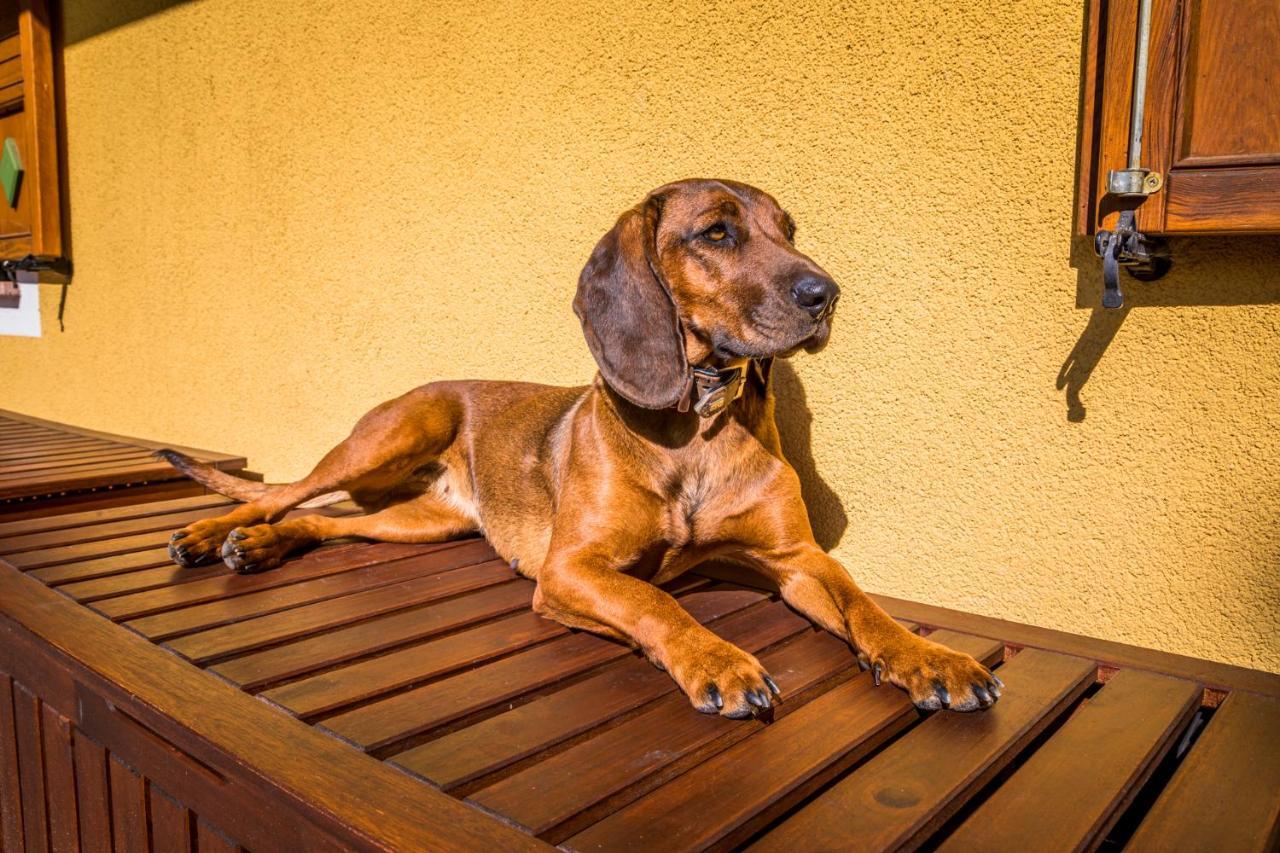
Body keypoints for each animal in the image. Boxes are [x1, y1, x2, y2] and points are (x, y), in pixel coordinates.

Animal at [160, 180, 998, 717]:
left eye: (789, 231)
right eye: (717, 232)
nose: (827, 294)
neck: (696, 422)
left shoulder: (798, 558)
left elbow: (866, 605)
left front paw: (932, 659)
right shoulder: (571, 568)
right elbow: (655, 599)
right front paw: (718, 658)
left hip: (428, 521)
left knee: (327, 520)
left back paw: (262, 546)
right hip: (393, 434)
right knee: (282, 491)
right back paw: (213, 533)